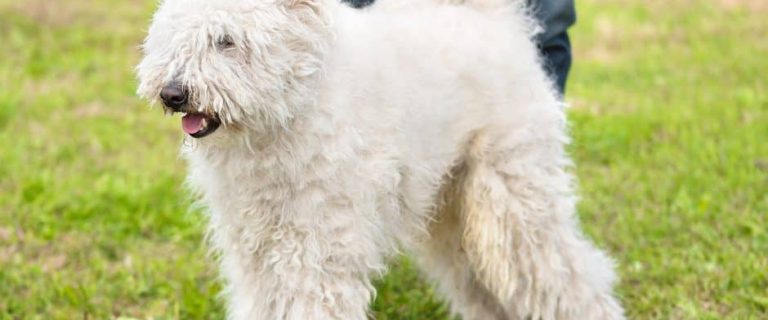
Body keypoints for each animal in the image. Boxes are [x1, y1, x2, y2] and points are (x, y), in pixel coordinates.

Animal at [136, 0, 624, 318]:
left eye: (226, 41)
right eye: (172, 39)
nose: (173, 92)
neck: (294, 107)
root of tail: (497, 21)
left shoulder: (317, 249)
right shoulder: (253, 250)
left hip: (511, 207)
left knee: (567, 276)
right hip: (452, 215)